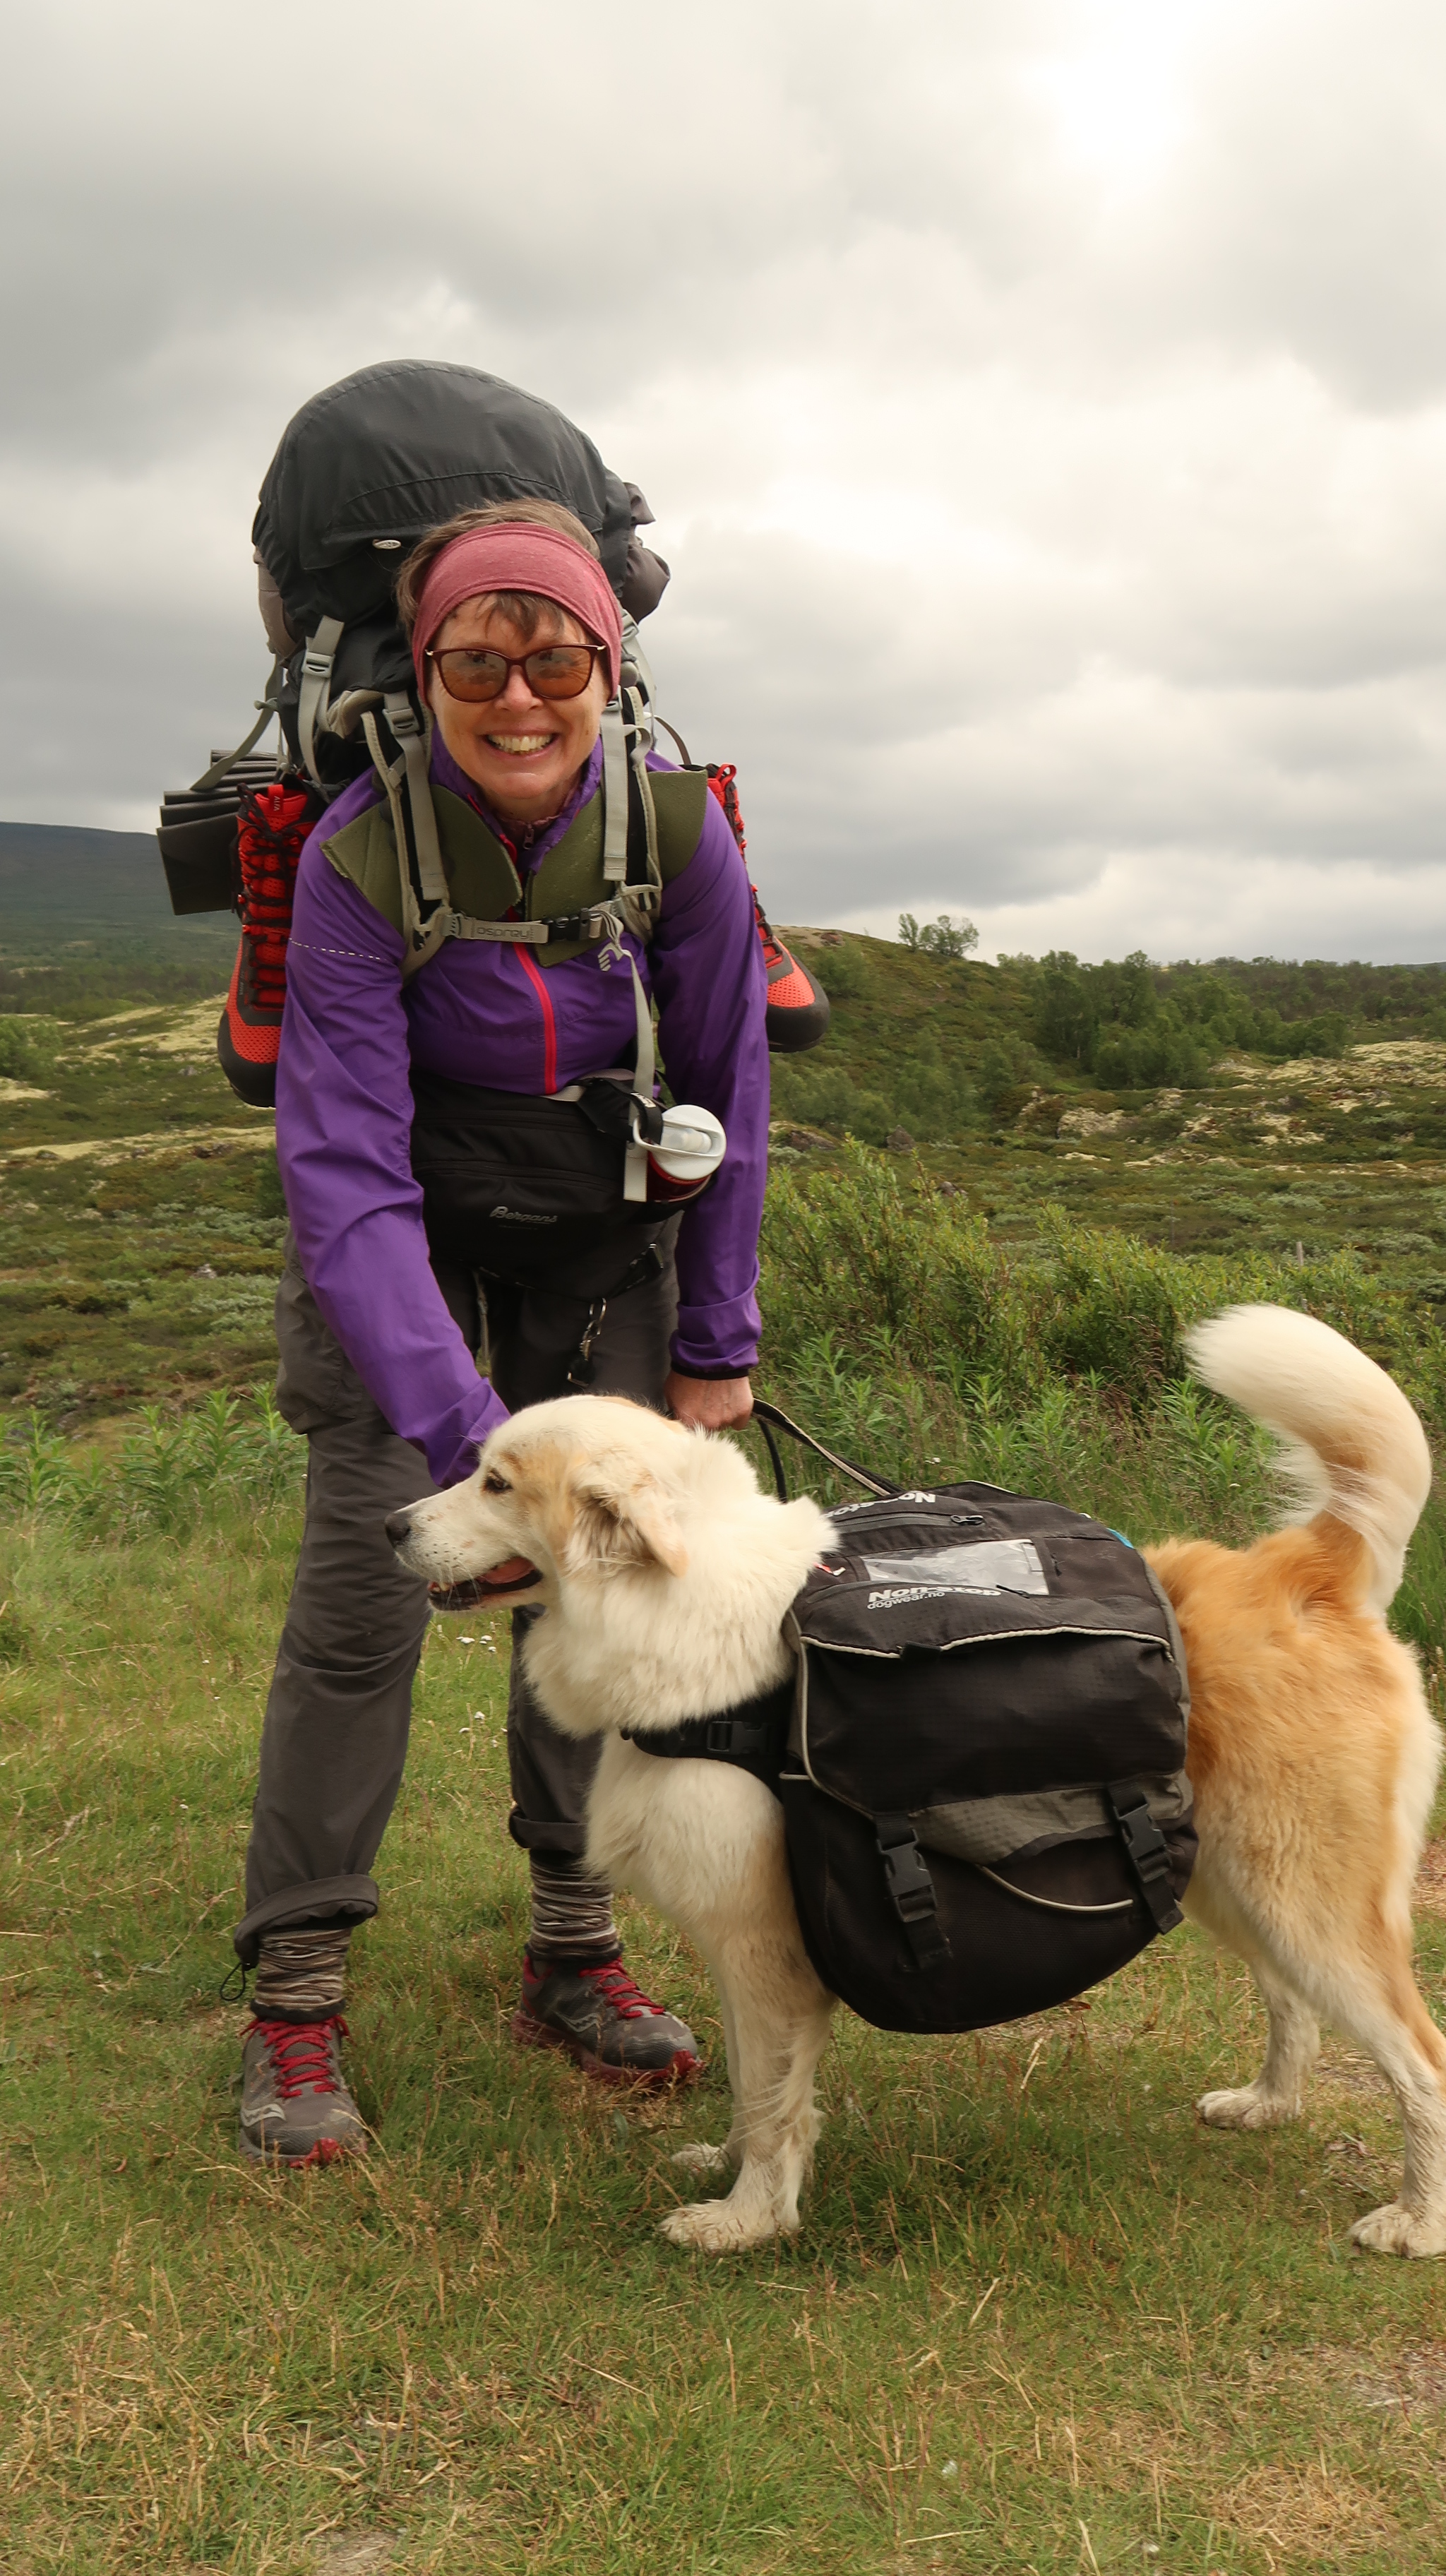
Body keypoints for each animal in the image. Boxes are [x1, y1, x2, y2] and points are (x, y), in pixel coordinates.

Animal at [387, 1305, 1446, 2257]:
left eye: (495, 1482)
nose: (393, 1525)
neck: (667, 1603)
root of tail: (1302, 1567)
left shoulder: (768, 1948)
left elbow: (770, 2101)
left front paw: (745, 2222)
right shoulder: (739, 1943)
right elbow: (748, 2082)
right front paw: (724, 2169)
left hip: (1309, 1904)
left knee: (1421, 2060)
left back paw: (1416, 2225)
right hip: (1243, 1889)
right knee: (1290, 2004)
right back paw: (1268, 2105)